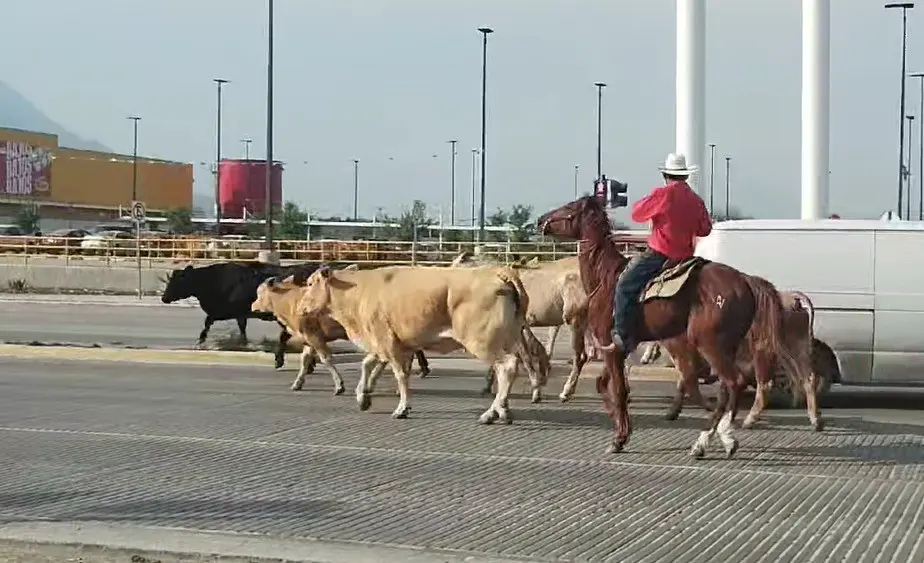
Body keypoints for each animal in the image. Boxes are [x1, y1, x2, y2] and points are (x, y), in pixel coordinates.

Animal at [296, 266, 540, 424]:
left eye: (309, 283)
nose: (299, 308)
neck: (358, 291)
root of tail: (498, 272)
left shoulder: (387, 342)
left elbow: (400, 375)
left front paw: (402, 408)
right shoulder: (389, 343)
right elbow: (367, 364)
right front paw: (363, 397)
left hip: (482, 341)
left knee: (507, 367)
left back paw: (493, 412)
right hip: (507, 339)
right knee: (509, 368)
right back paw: (501, 409)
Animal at [450, 253, 592, 404]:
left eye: (455, 264)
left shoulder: (518, 328)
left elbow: (525, 356)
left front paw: (536, 391)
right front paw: (487, 386)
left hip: (574, 322)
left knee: (579, 357)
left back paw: (566, 392)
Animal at [536, 197, 804, 458]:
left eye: (569, 207)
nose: (540, 220)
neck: (606, 279)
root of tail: (745, 280)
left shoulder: (610, 346)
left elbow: (619, 390)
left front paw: (619, 439)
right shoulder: (618, 349)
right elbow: (604, 385)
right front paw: (621, 426)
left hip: (709, 344)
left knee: (733, 382)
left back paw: (709, 441)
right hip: (726, 346)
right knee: (726, 388)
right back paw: (720, 436)